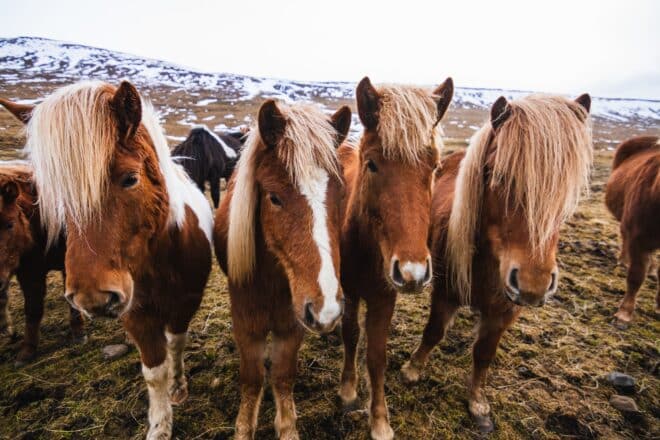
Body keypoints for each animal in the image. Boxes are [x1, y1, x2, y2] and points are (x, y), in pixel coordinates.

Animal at [214, 99, 351, 439]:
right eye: (274, 197)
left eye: (341, 194)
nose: (327, 310)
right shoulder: (246, 322)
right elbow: (251, 379)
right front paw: (244, 427)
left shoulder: (292, 323)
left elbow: (282, 375)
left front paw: (286, 426)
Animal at [337, 76, 454, 440]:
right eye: (372, 163)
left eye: (435, 167)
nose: (413, 273)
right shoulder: (350, 291)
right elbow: (351, 335)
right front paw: (348, 389)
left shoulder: (384, 298)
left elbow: (377, 357)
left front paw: (379, 420)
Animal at [400, 94, 593, 433]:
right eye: (498, 174)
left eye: (565, 190)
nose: (533, 284)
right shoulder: (445, 292)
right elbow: (433, 331)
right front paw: (412, 369)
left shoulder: (505, 311)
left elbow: (484, 353)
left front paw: (478, 403)